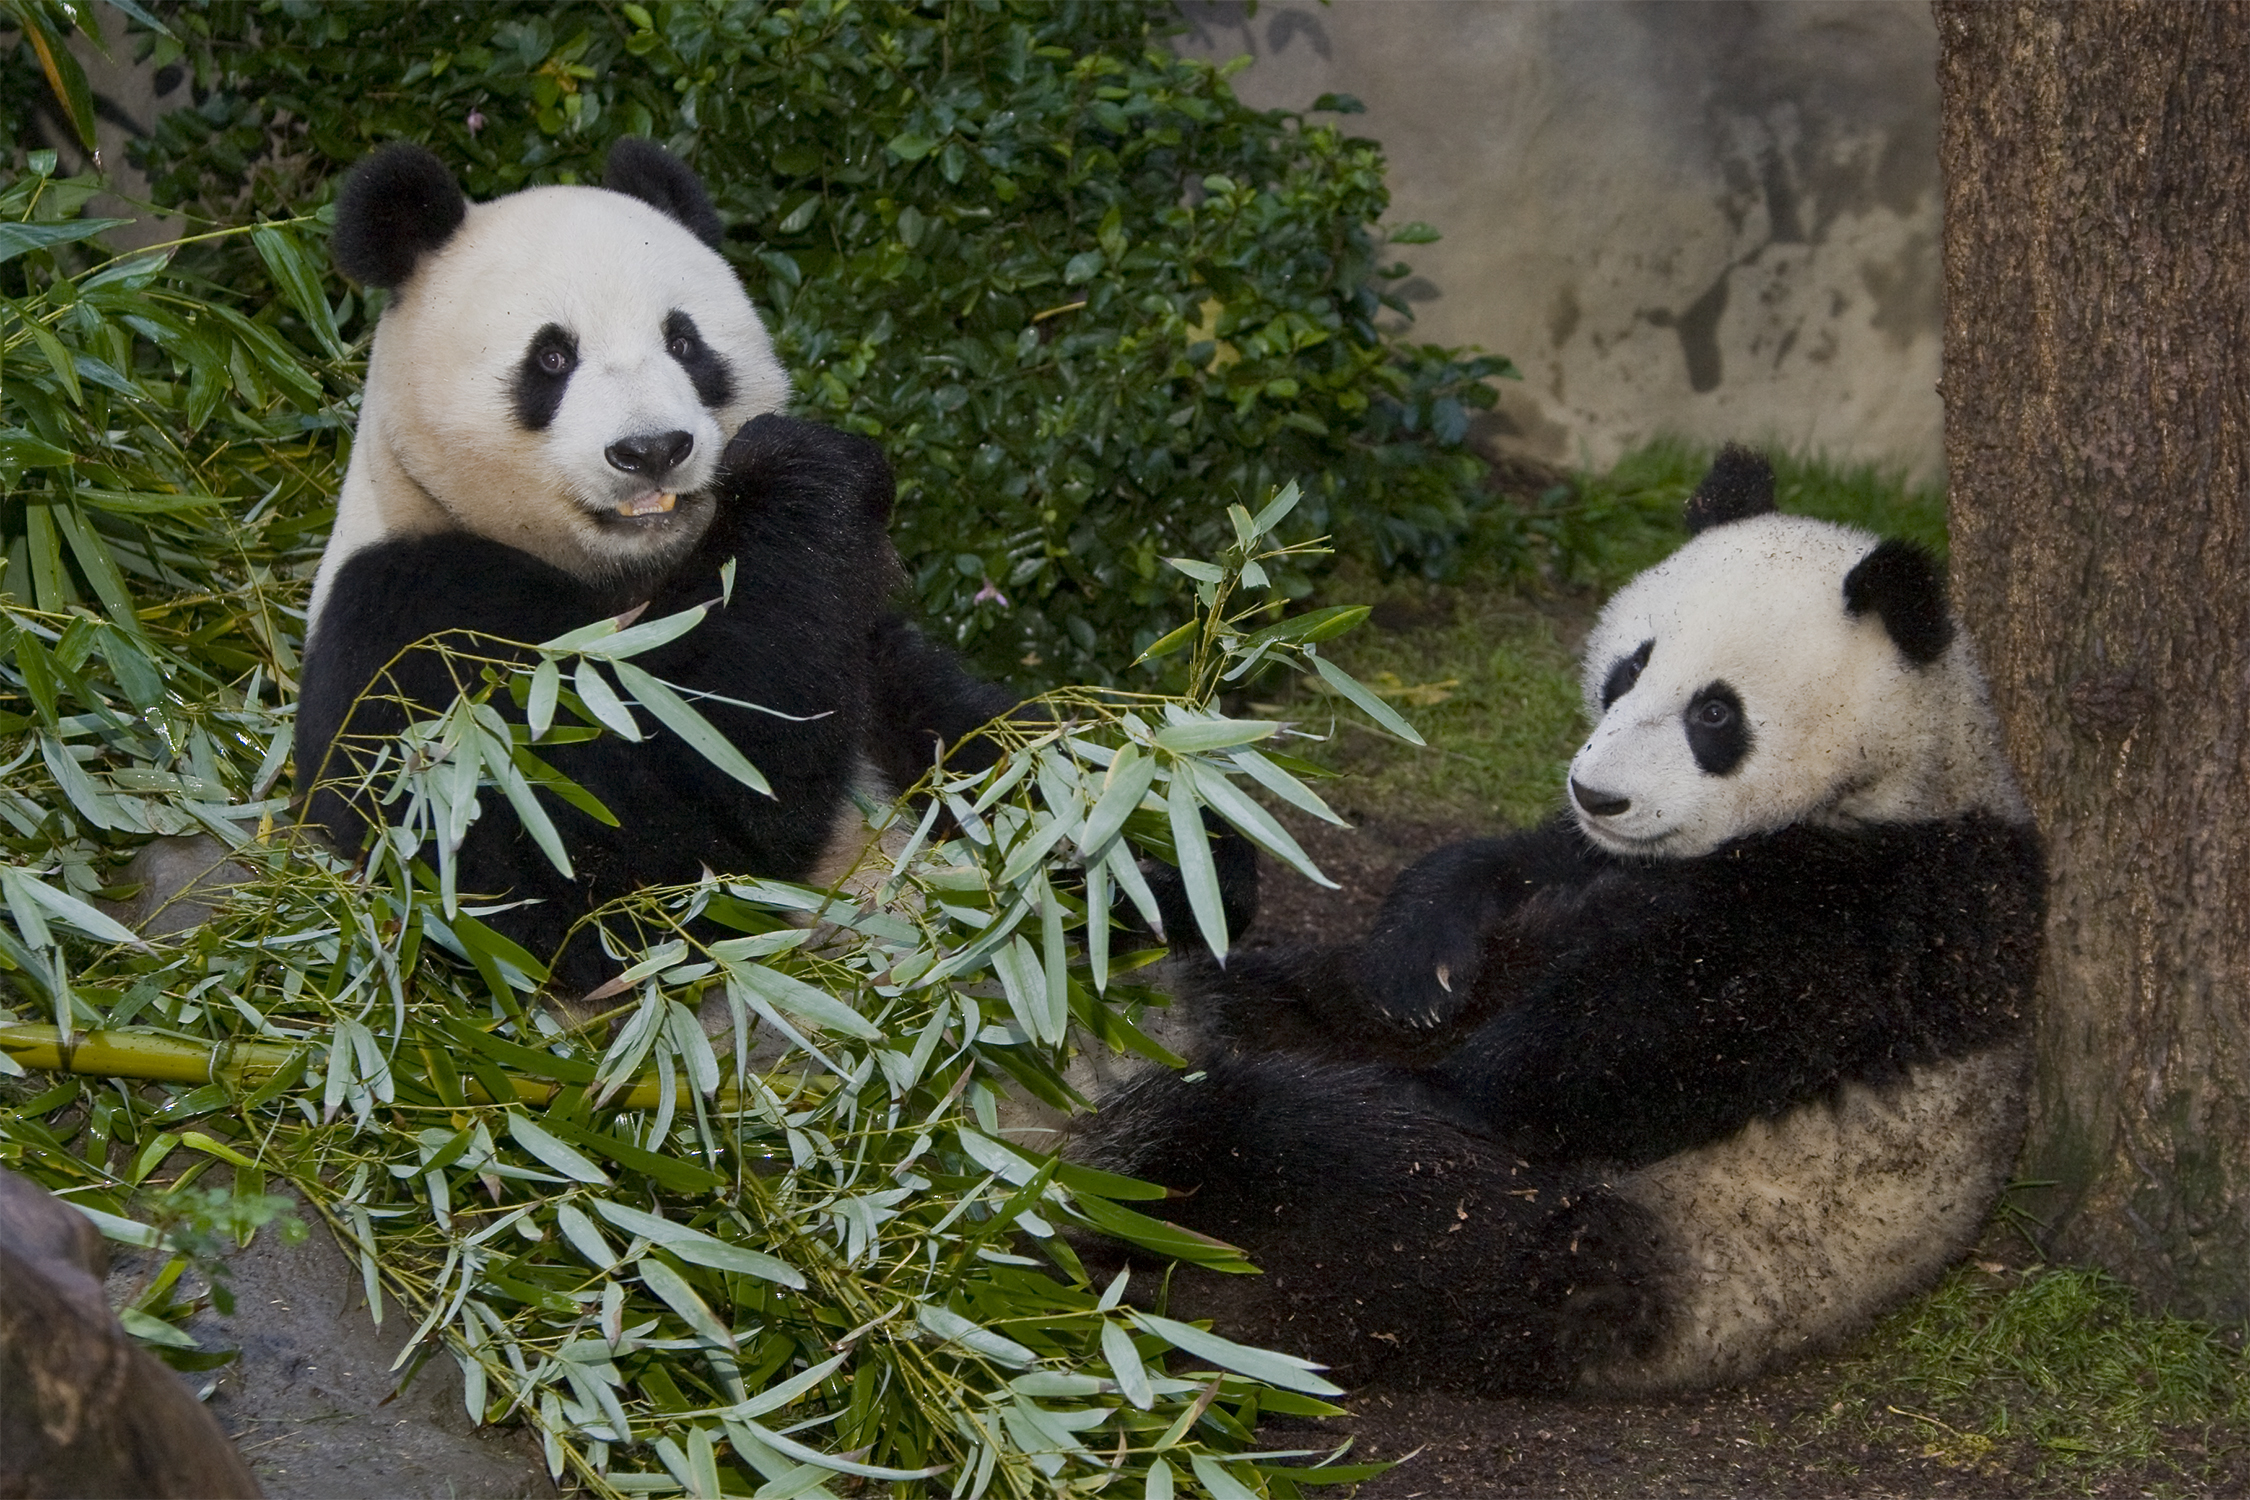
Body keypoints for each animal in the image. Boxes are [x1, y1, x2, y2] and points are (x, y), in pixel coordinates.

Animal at [297, 143, 1012, 998]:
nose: (651, 450)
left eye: (684, 343)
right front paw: (804, 469)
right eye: (552, 356)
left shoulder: (867, 643)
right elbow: (601, 869)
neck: (631, 574)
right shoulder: (413, 626)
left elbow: (972, 742)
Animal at [1080, 445, 2052, 1394]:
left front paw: (1451, 1083)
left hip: (1576, 1248)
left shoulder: (1896, 899)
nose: (1599, 793)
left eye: (1715, 712)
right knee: (1271, 1000)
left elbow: (1655, 1031)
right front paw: (1415, 970)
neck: (1900, 774)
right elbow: (1496, 873)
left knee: (1325, 1173)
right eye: (1630, 668)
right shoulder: (1598, 856)